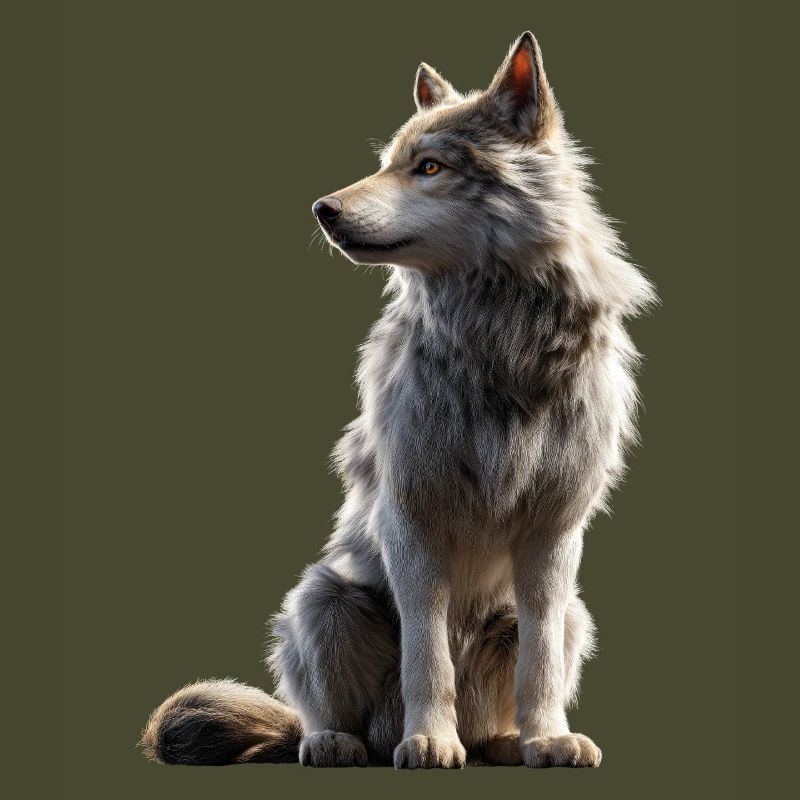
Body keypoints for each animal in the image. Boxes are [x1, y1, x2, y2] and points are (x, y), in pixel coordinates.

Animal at [142, 31, 654, 769]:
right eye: (387, 164)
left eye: (429, 167)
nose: (322, 210)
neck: (499, 340)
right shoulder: (410, 520)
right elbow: (426, 654)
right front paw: (430, 741)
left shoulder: (555, 534)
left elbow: (540, 665)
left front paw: (549, 739)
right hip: (324, 600)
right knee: (326, 714)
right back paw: (341, 742)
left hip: (573, 615)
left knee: (519, 684)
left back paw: (504, 743)